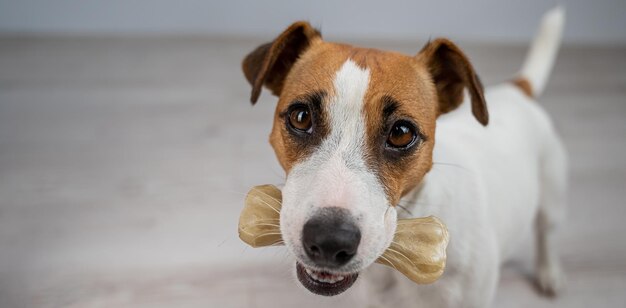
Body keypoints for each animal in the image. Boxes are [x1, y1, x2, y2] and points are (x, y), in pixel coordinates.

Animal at [239, 6, 564, 306]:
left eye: (402, 133)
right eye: (301, 116)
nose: (330, 240)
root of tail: (516, 90)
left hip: (551, 199)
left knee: (546, 235)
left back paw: (549, 274)